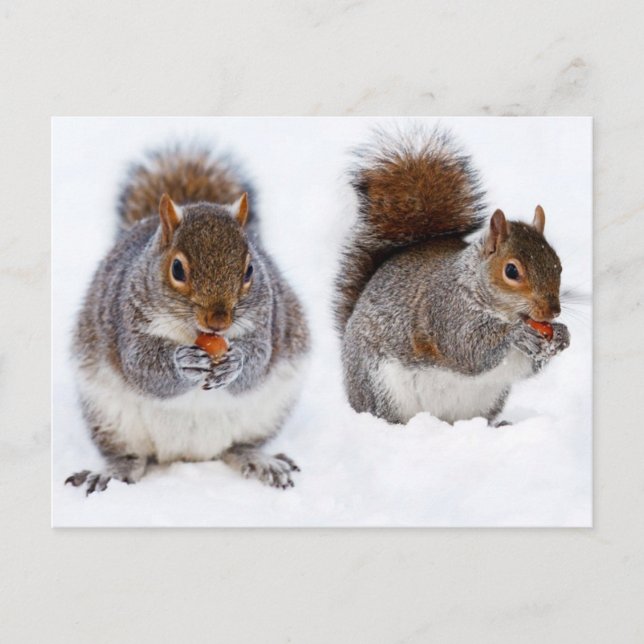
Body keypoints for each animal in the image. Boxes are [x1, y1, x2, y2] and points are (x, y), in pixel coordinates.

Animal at [66, 146, 309, 494]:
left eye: (250, 270)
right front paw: (183, 363)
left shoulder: (268, 321)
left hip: (267, 411)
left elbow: (258, 362)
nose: (219, 321)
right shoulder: (125, 320)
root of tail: (188, 454)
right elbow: (142, 367)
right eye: (177, 269)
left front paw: (236, 362)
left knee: (239, 447)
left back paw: (261, 461)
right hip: (110, 416)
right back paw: (111, 472)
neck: (195, 333)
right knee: (130, 456)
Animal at [335, 127, 570, 425]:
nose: (553, 312)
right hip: (380, 386)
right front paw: (516, 334)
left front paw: (562, 335)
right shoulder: (446, 311)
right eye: (511, 270)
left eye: (558, 265)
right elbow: (468, 348)